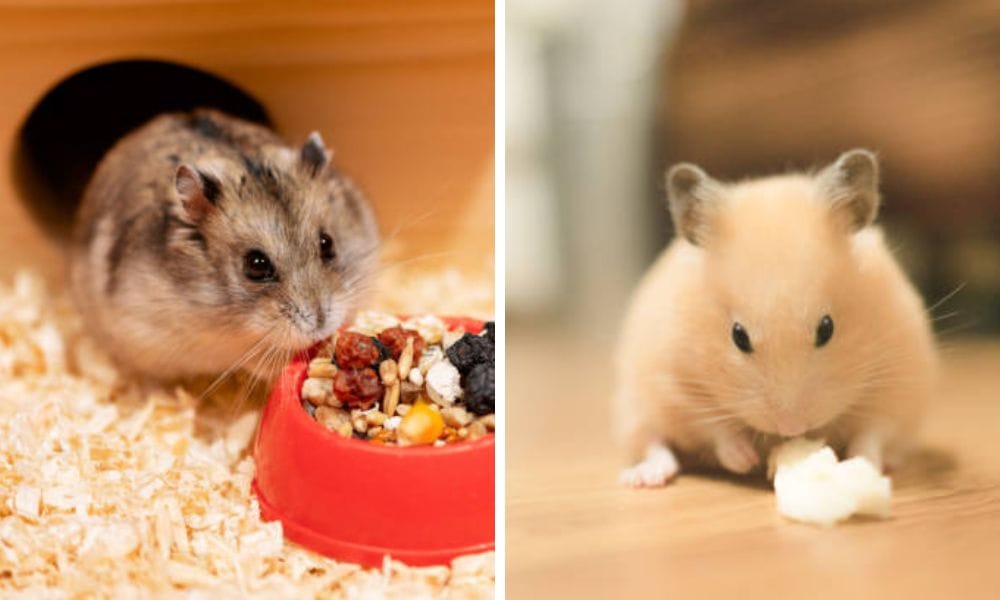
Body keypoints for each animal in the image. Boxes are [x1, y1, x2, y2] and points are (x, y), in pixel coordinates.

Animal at [615, 149, 936, 487]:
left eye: (827, 328)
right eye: (738, 336)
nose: (792, 428)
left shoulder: (898, 380)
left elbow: (873, 433)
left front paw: (863, 465)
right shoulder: (674, 380)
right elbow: (714, 428)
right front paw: (745, 461)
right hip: (634, 406)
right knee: (655, 444)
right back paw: (643, 478)